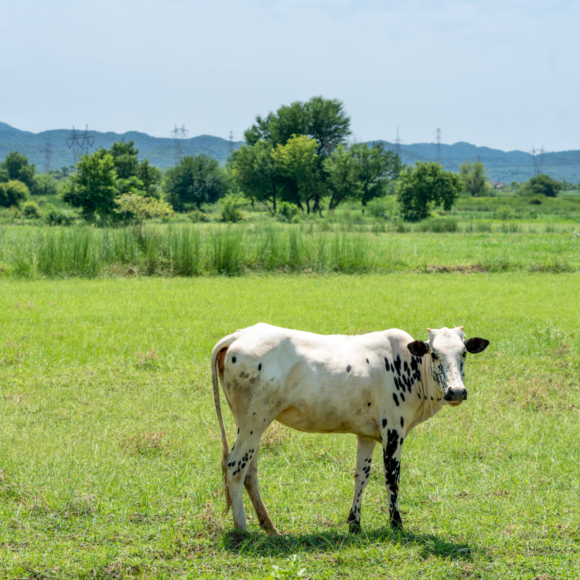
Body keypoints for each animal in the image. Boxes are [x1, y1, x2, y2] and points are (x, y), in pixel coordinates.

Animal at [211, 322, 488, 536]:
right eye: (435, 353)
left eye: (464, 353)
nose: (456, 391)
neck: (412, 368)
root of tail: (240, 335)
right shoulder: (393, 432)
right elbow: (392, 478)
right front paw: (396, 524)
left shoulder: (366, 435)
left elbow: (361, 476)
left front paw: (354, 523)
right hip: (253, 422)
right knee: (235, 466)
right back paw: (243, 529)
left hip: (253, 426)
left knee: (250, 471)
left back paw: (269, 527)